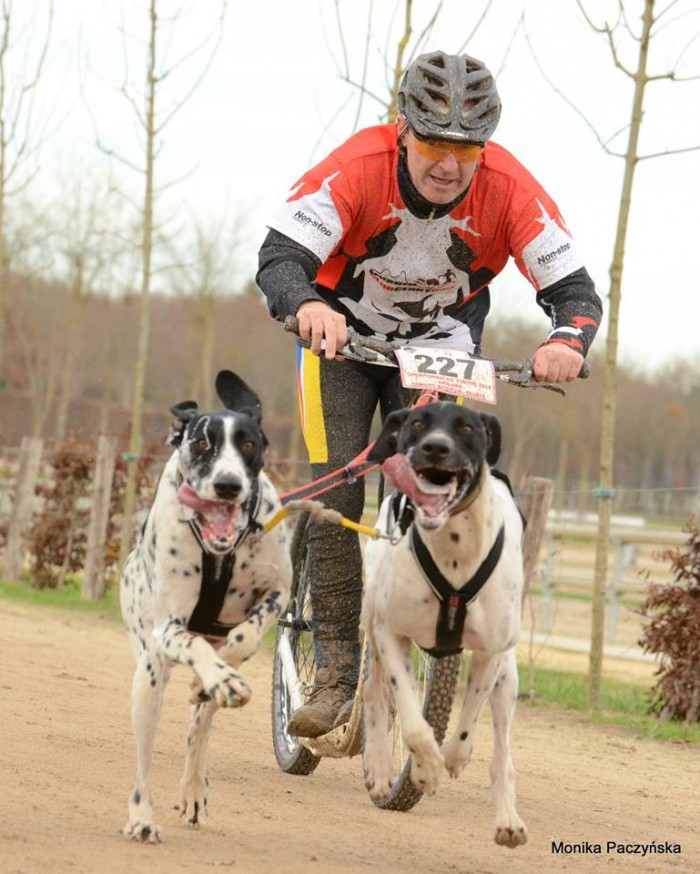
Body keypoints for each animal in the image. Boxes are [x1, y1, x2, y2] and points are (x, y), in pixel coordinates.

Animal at [119, 370, 291, 843]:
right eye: (201, 443)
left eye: (248, 444)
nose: (227, 484)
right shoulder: (169, 628)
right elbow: (194, 647)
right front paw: (217, 675)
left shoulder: (279, 593)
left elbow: (244, 635)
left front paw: (218, 673)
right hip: (148, 678)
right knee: (143, 759)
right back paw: (141, 818)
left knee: (202, 725)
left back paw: (195, 784)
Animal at [361, 401, 527, 848]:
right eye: (418, 423)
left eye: (467, 428)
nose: (435, 447)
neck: (453, 548)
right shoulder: (391, 633)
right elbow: (414, 725)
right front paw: (423, 769)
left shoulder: (490, 653)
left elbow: (467, 728)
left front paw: (450, 758)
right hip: (371, 620)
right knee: (373, 694)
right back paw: (380, 768)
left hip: (509, 679)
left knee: (503, 754)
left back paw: (507, 818)